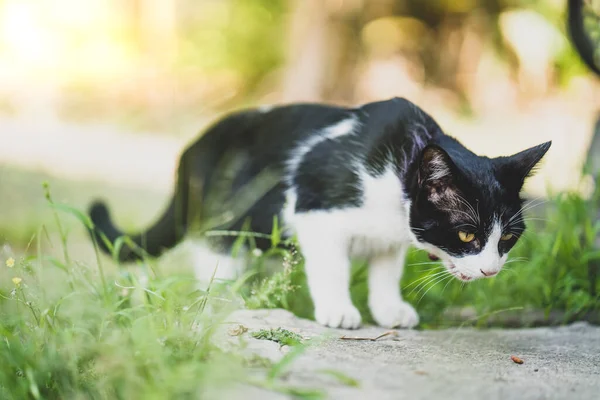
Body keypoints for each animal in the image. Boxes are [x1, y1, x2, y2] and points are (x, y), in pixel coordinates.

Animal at [86, 96, 552, 328]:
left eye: (507, 239)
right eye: (467, 235)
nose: (491, 269)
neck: (401, 166)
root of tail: (190, 149)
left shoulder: (392, 235)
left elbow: (386, 270)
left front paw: (388, 309)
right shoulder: (315, 212)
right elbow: (331, 268)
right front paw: (338, 310)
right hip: (227, 216)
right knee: (215, 251)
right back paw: (227, 298)